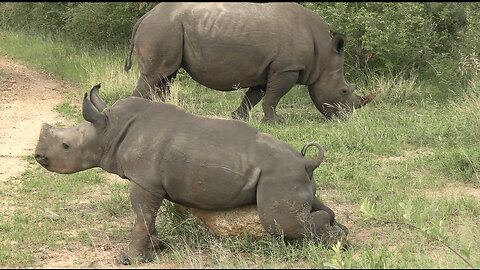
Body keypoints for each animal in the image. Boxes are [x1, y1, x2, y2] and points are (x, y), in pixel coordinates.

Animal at [34, 84, 348, 264]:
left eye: (66, 146)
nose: (38, 157)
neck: (109, 130)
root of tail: (306, 162)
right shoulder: (149, 182)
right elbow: (144, 216)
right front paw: (156, 246)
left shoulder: (144, 180)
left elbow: (142, 215)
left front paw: (127, 258)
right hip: (293, 175)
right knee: (310, 206)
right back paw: (339, 236)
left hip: (280, 175)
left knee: (281, 225)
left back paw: (333, 244)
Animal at [124, 1, 376, 124]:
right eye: (344, 91)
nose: (344, 118)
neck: (323, 56)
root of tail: (144, 17)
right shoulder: (287, 68)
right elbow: (273, 97)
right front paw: (277, 122)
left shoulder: (270, 68)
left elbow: (255, 95)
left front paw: (238, 117)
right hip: (163, 28)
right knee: (153, 76)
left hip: (168, 29)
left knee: (166, 76)